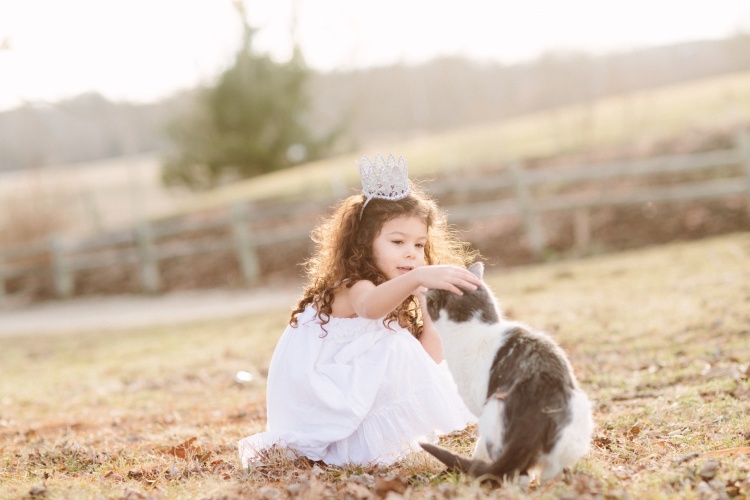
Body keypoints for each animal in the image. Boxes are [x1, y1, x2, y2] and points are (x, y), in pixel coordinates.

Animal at [424, 262, 592, 484]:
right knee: (550, 470)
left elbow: (479, 446)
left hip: (492, 411)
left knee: (517, 472)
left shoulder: (478, 405)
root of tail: (539, 405)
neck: (475, 326)